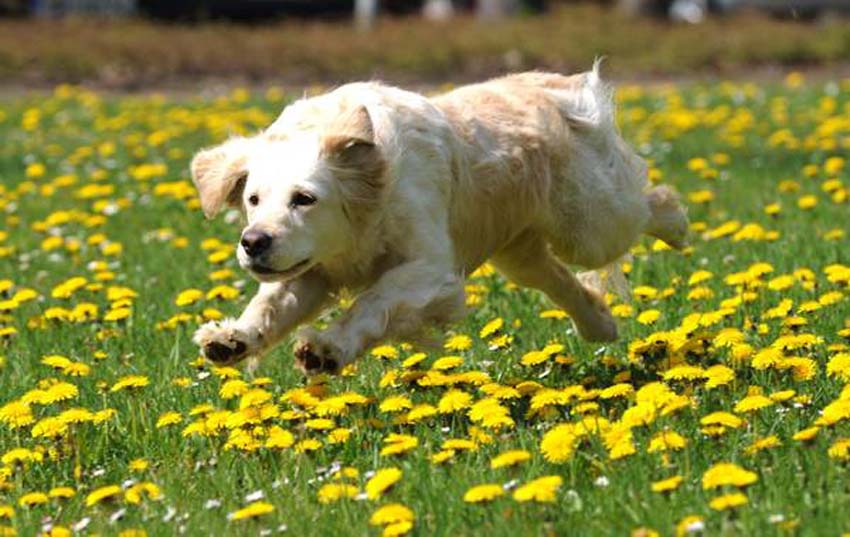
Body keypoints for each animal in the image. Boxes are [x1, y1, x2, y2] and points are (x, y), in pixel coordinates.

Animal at [189, 65, 684, 374]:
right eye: (253, 199)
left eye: (305, 199)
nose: (253, 242)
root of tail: (554, 85)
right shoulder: (314, 270)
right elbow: (270, 305)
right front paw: (231, 339)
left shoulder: (429, 268)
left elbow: (373, 302)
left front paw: (327, 349)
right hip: (519, 254)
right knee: (562, 281)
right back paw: (600, 324)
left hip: (589, 225)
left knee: (644, 204)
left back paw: (677, 224)